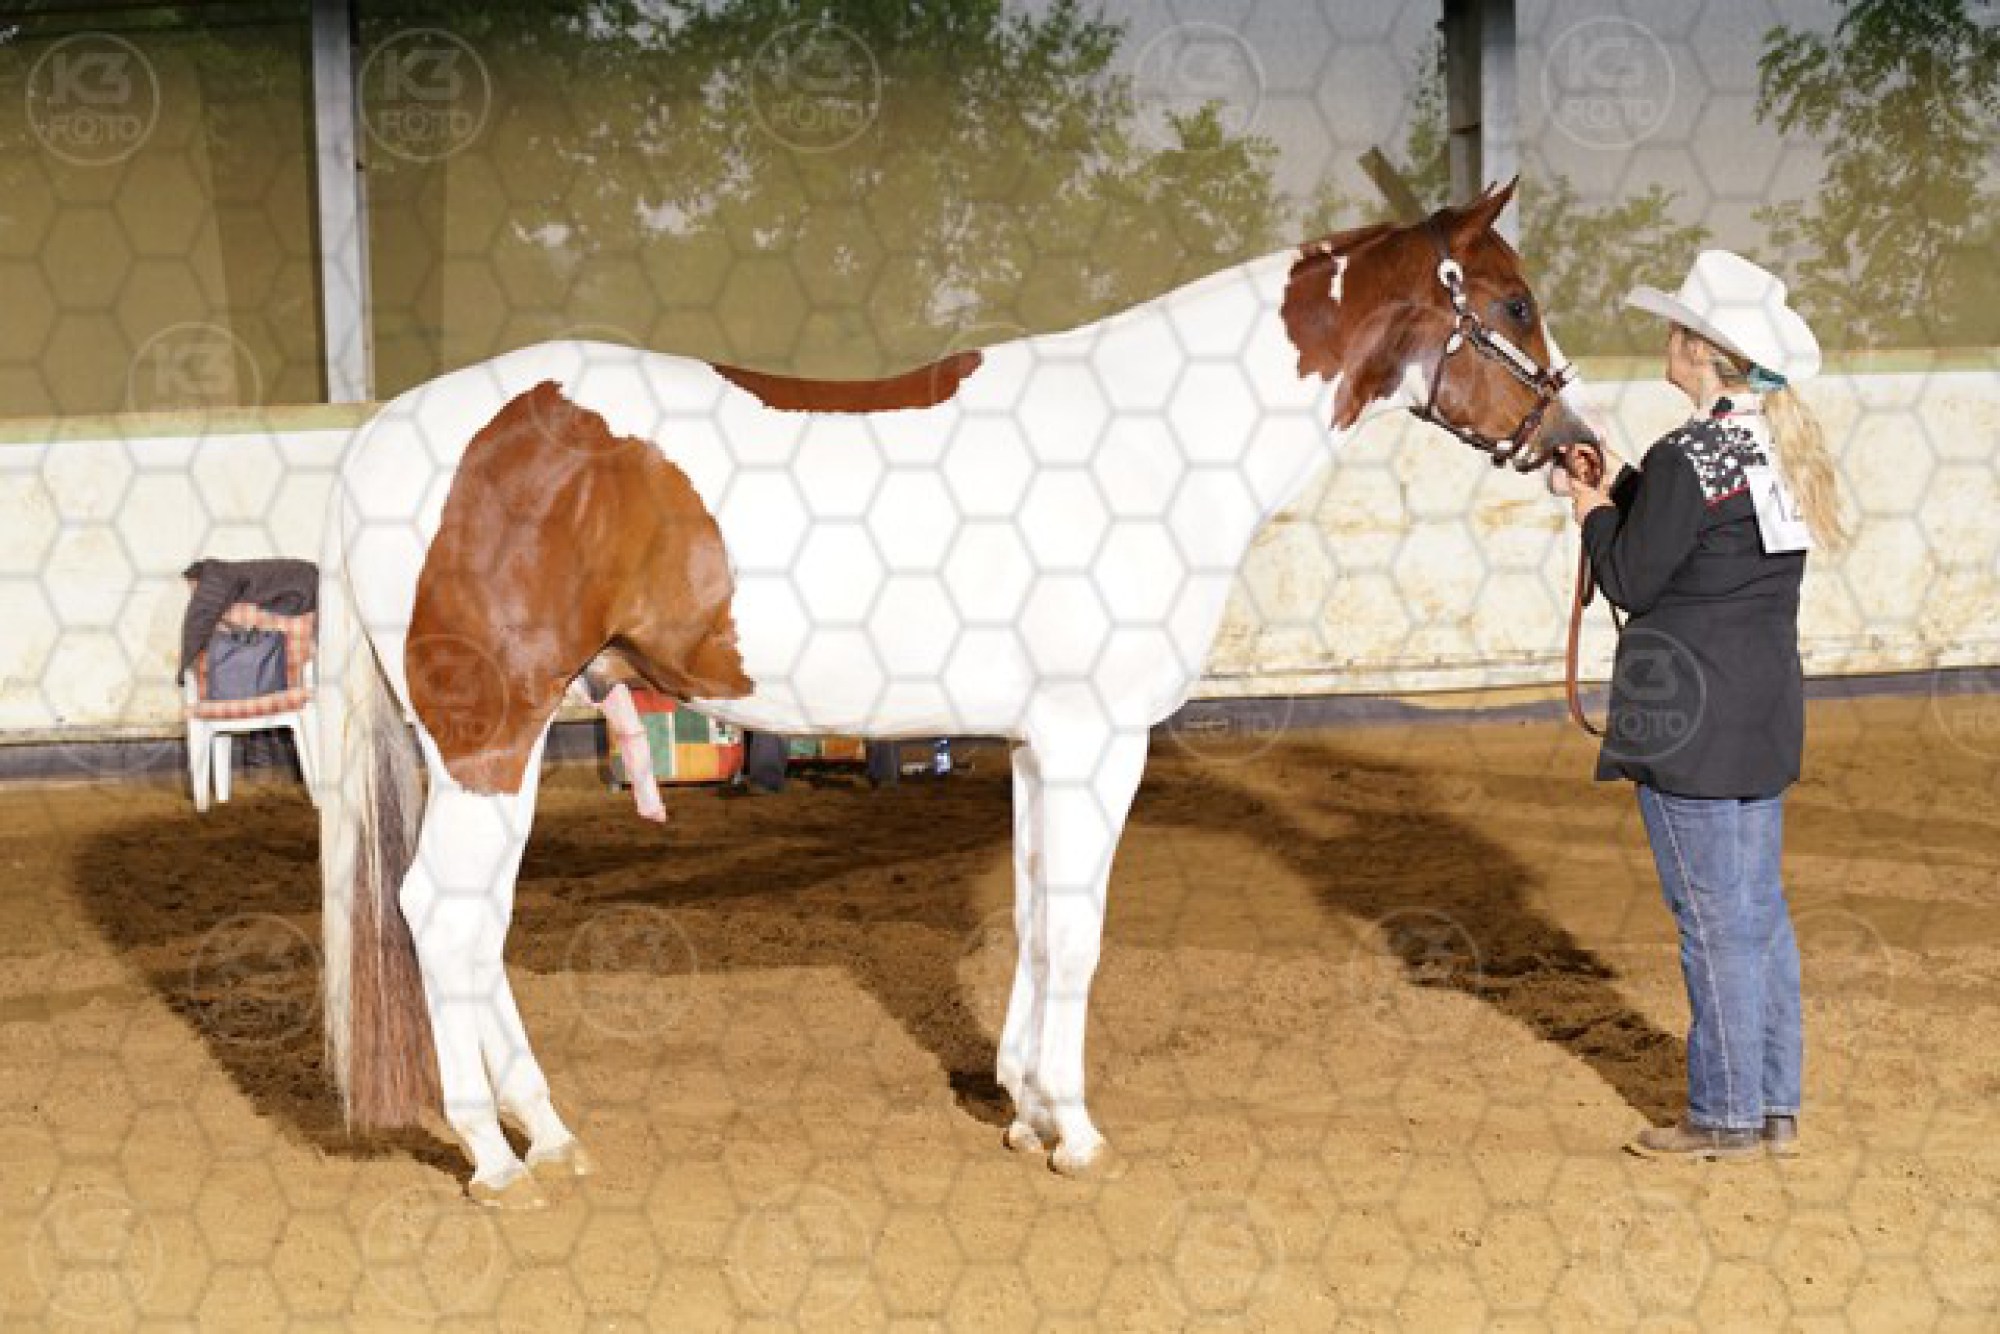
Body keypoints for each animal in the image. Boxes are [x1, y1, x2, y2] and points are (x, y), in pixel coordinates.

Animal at [317, 180, 1599, 1206]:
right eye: (1513, 302)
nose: (1580, 447)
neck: (1149, 442)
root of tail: (383, 436)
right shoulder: (1096, 735)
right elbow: (1077, 928)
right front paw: (1074, 1129)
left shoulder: (1038, 742)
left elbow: (1033, 914)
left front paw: (1025, 1107)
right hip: (491, 738)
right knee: (439, 913)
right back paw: (495, 1156)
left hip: (501, 746)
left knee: (472, 924)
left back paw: (549, 1131)